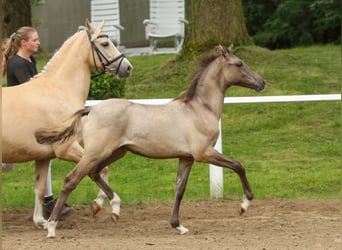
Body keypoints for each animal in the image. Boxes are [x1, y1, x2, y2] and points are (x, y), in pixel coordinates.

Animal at [1, 19, 132, 229]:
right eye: (105, 44)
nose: (127, 68)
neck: (59, 91)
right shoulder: (68, 148)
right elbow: (99, 169)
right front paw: (103, 205)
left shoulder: (43, 156)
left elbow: (39, 189)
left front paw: (41, 221)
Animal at [35, 45, 264, 238]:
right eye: (239, 64)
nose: (262, 82)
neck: (199, 109)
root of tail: (91, 109)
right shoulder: (204, 153)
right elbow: (238, 165)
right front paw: (244, 205)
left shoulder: (186, 158)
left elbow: (179, 189)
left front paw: (178, 226)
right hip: (96, 152)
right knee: (71, 179)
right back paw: (52, 227)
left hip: (115, 152)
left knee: (94, 172)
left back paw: (112, 208)